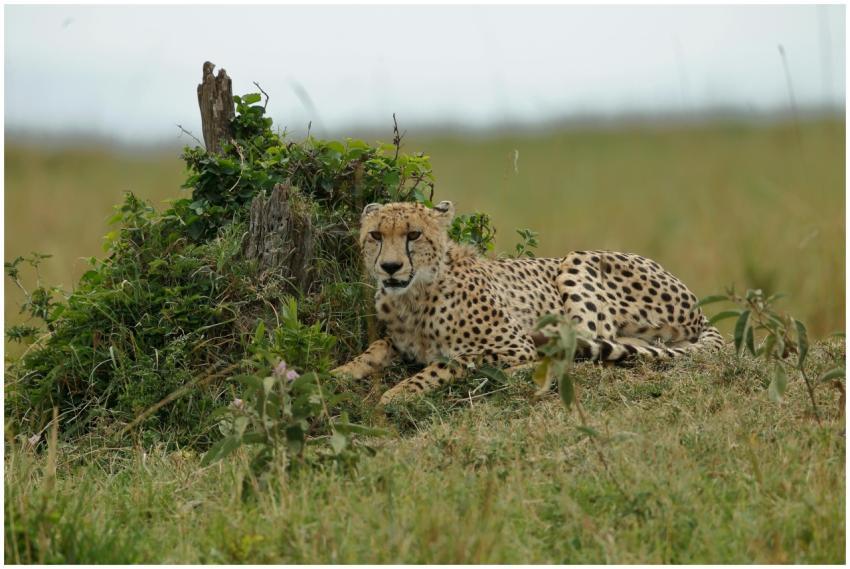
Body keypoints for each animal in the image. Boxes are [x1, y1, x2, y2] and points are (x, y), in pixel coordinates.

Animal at [331, 200, 724, 405]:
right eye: (375, 235)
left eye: (413, 234)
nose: (390, 267)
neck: (415, 295)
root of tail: (698, 307)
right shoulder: (399, 342)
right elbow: (374, 350)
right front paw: (337, 375)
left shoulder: (513, 343)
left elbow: (448, 363)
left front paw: (397, 393)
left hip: (577, 260)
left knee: (576, 353)